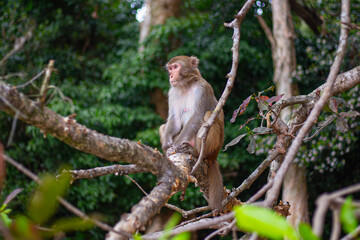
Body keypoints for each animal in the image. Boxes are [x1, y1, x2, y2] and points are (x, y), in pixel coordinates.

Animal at [159, 55, 224, 210]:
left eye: (175, 67)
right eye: (170, 68)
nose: (171, 75)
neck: (185, 86)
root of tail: (214, 156)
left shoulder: (202, 89)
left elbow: (197, 117)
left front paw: (176, 146)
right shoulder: (172, 92)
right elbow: (174, 119)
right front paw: (168, 145)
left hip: (214, 147)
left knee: (208, 116)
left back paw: (196, 153)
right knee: (163, 126)